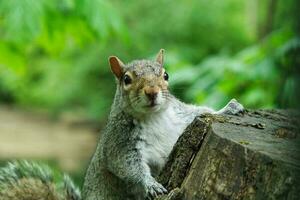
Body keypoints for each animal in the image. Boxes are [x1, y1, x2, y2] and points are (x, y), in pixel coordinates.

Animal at [0, 49, 244, 199]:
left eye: (165, 75)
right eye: (127, 79)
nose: (152, 92)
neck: (154, 117)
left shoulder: (180, 118)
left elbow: (200, 112)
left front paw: (229, 108)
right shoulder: (120, 143)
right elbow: (128, 166)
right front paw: (150, 184)